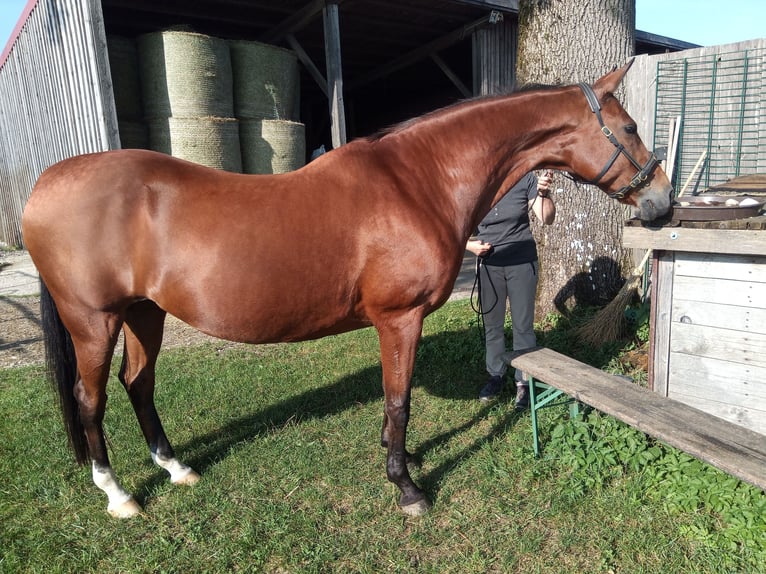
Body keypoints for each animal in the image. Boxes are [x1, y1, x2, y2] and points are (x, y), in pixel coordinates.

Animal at [22, 60, 672, 520]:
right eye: (630, 127)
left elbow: (396, 401)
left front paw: (402, 458)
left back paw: (176, 468)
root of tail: (46, 184)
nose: (662, 201)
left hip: (144, 313)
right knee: (89, 400)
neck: (417, 180)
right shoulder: (400, 318)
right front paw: (407, 486)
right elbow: (398, 399)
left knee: (138, 383)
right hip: (94, 321)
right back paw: (118, 495)